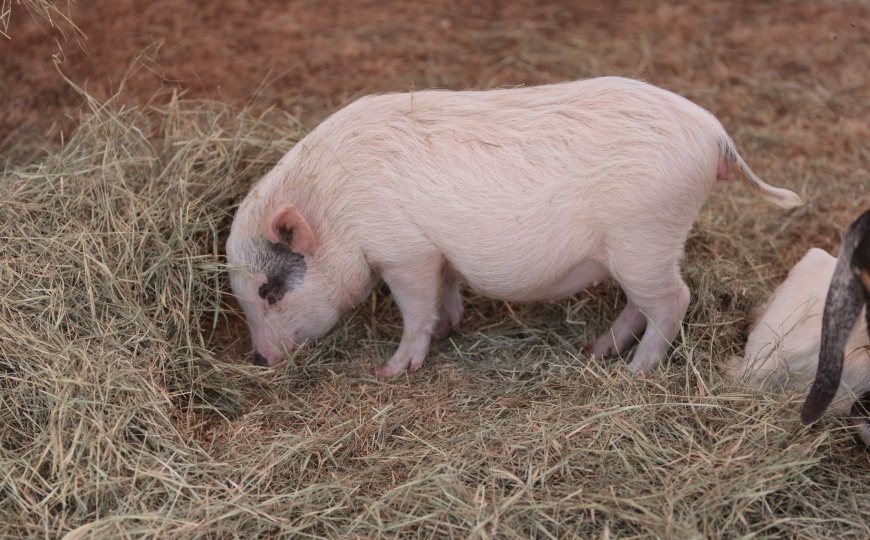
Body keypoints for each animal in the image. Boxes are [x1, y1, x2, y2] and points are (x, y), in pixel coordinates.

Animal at [226, 76, 802, 377]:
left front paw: (392, 372)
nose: (259, 358)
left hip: (645, 235)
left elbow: (416, 308)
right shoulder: (439, 255)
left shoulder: (406, 251)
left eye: (269, 290)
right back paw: (598, 351)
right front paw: (451, 326)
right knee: (647, 302)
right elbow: (446, 290)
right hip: (643, 248)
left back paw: (633, 371)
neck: (337, 208)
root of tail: (714, 134)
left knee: (674, 300)